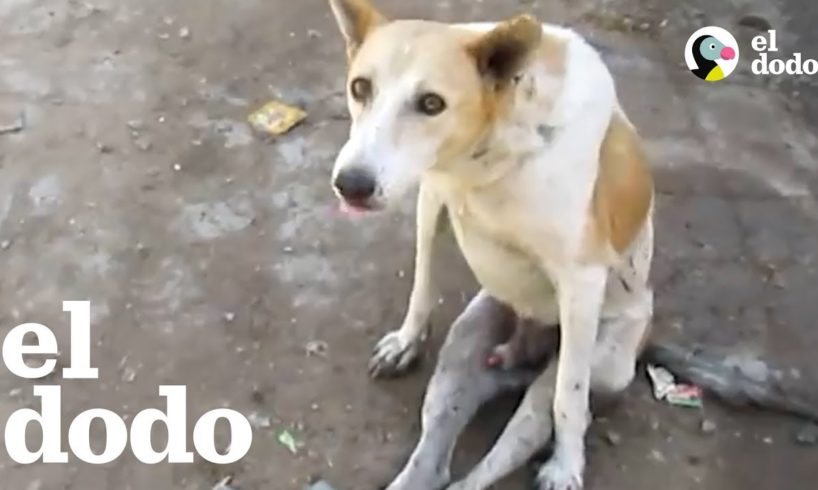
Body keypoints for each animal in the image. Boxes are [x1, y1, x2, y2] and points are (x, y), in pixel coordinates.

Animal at [328, 1, 652, 488]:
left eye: (431, 103)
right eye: (360, 87)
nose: (351, 186)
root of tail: (523, 356)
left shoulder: (582, 280)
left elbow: (570, 401)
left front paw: (567, 465)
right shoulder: (432, 197)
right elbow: (422, 282)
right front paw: (406, 340)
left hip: (604, 362)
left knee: (532, 421)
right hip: (462, 356)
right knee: (436, 458)